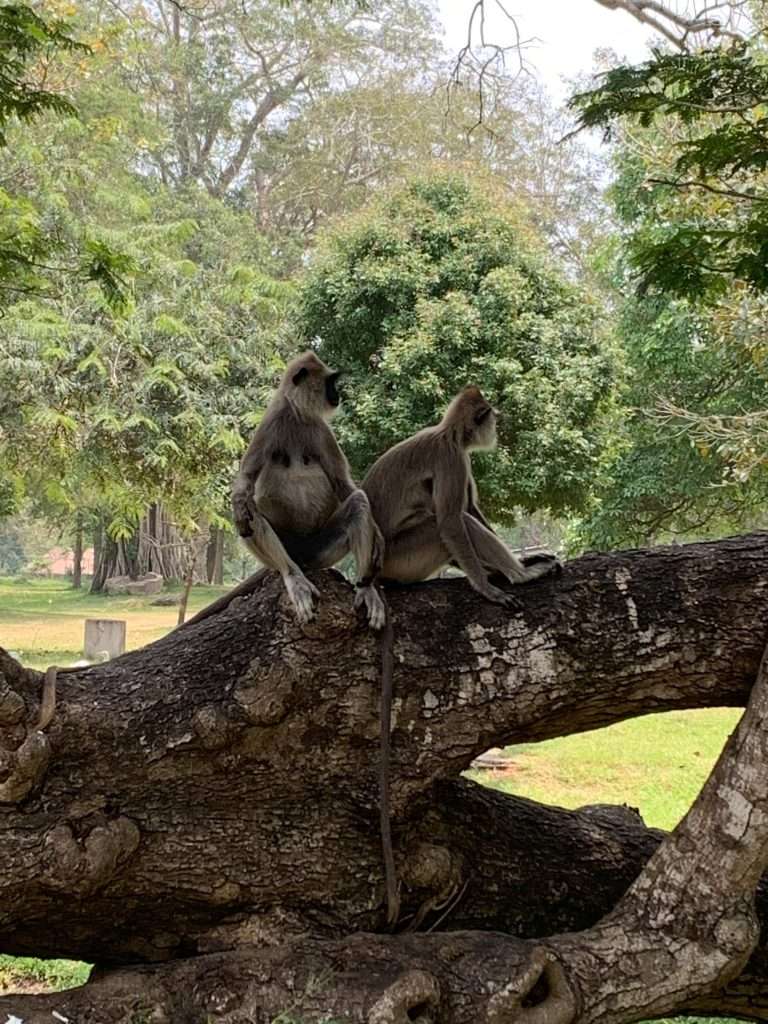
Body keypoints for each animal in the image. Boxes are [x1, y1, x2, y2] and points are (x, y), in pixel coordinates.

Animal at [225, 351, 385, 629]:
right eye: (330, 382)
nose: (337, 394)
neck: (296, 414)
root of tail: (301, 556)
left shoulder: (322, 430)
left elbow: (344, 484)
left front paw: (378, 537)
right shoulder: (271, 422)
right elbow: (245, 481)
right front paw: (239, 502)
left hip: (319, 550)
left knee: (358, 501)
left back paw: (366, 589)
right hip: (288, 548)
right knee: (249, 510)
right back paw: (293, 577)